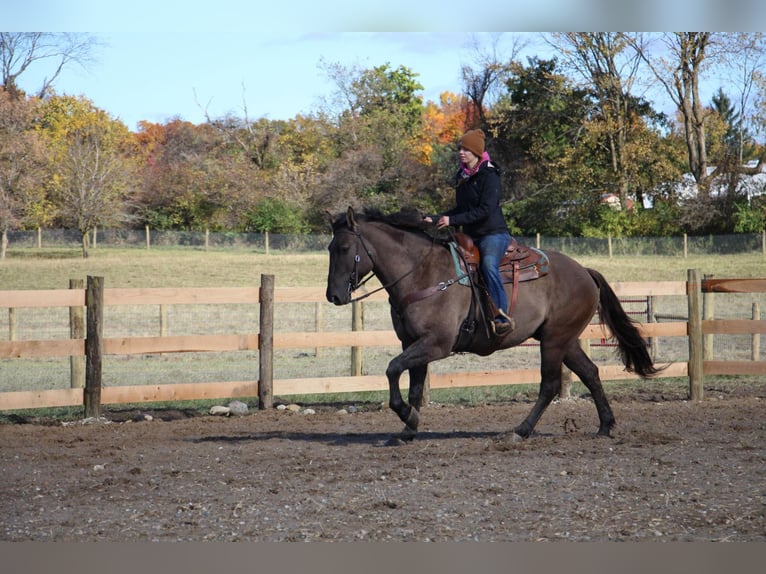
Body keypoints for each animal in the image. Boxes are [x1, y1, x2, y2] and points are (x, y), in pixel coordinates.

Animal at [328, 207, 664, 446]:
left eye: (343, 248)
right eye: (331, 247)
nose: (333, 295)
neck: (422, 273)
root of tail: (584, 271)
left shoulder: (436, 344)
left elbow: (392, 370)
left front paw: (406, 416)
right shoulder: (413, 342)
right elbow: (414, 388)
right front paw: (408, 429)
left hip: (554, 341)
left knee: (550, 385)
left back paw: (520, 431)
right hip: (564, 340)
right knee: (591, 373)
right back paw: (605, 426)